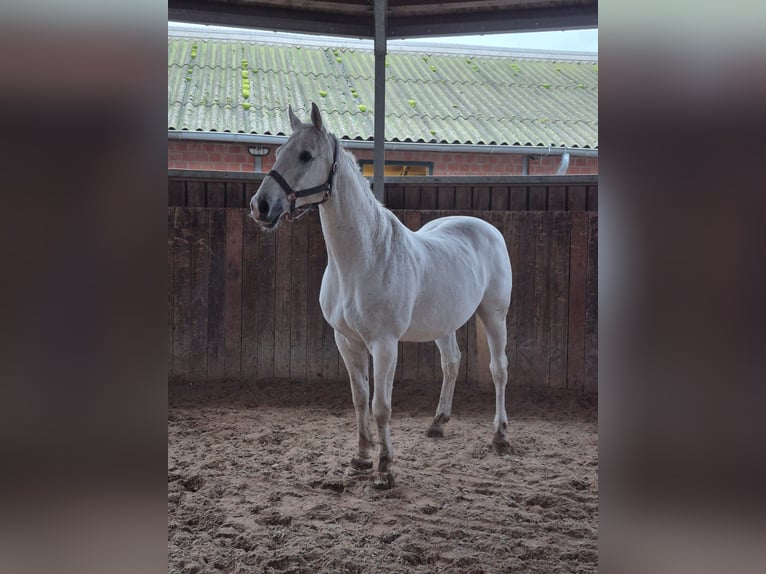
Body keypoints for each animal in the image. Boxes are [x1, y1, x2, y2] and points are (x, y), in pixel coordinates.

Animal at [254, 104, 516, 490]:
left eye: (306, 155)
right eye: (277, 153)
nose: (261, 206)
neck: (362, 259)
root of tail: (488, 229)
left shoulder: (384, 343)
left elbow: (381, 405)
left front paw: (384, 468)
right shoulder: (346, 341)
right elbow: (360, 399)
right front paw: (361, 458)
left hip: (494, 315)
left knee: (499, 369)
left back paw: (499, 437)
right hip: (444, 323)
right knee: (451, 362)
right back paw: (437, 423)